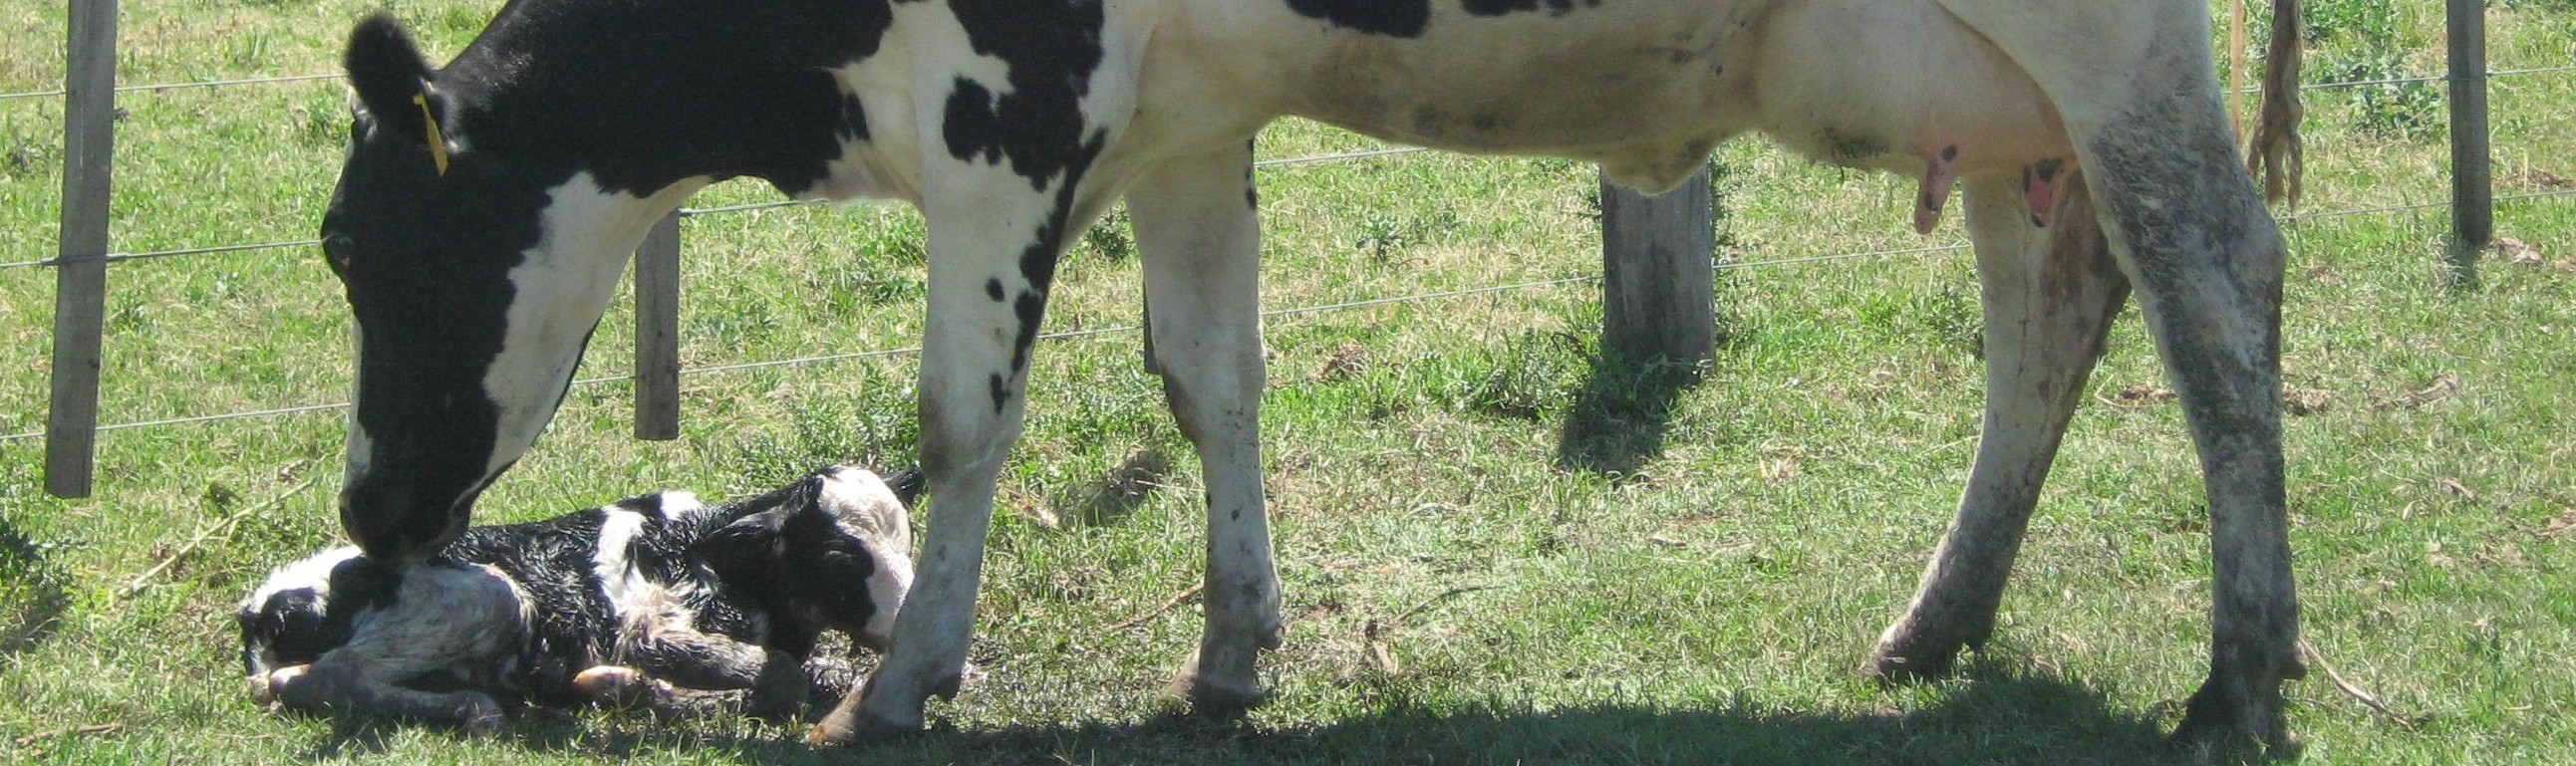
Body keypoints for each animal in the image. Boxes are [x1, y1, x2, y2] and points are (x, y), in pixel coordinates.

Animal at [240, 466, 918, 730]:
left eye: (908, 540)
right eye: (840, 560)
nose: (908, 623)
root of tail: (263, 607)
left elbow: (817, 673)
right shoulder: (646, 625)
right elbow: (778, 677)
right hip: (489, 598)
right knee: (318, 677)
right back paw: (470, 708)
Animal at [314, 0, 2308, 753]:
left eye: (344, 244)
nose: (365, 514)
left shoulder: (1004, 112)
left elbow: (964, 418)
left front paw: (908, 674)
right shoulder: (1184, 126)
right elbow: (1211, 380)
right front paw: (1230, 647)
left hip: (2113, 53)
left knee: (2217, 288)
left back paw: (2238, 666)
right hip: (2002, 115)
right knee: (2058, 306)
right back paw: (1938, 619)